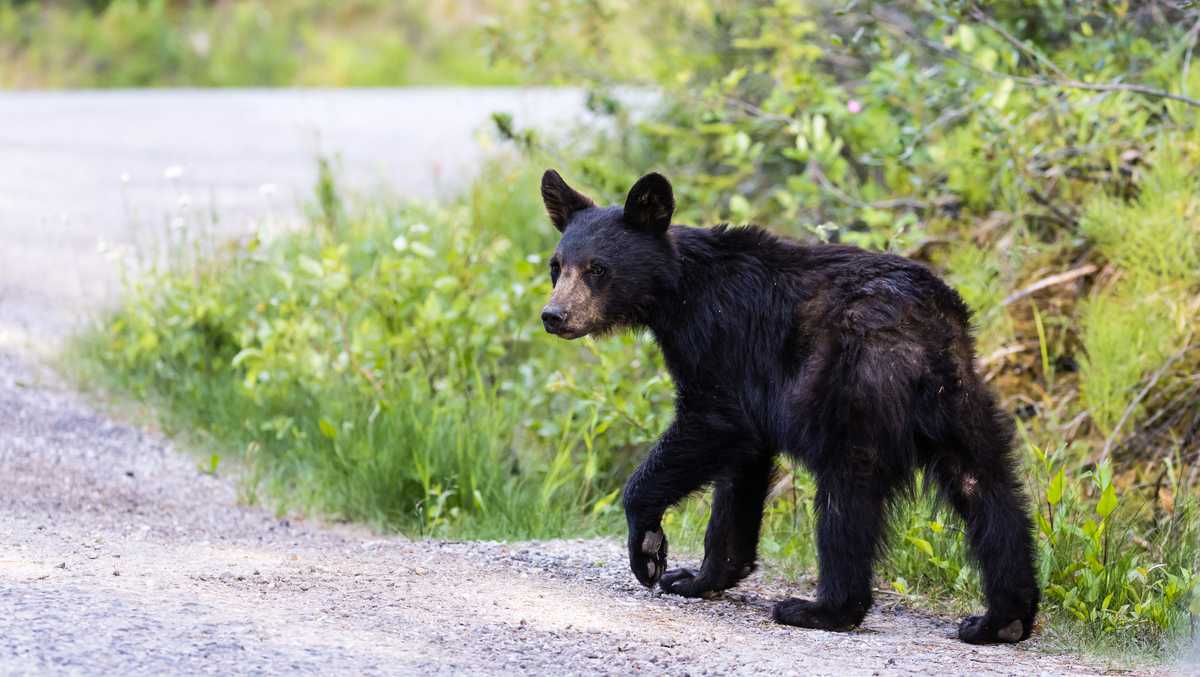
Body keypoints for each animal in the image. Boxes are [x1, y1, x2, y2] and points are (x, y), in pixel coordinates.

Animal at [538, 169, 1040, 644]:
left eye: (597, 269)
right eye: (556, 266)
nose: (554, 315)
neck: (678, 290)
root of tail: (928, 321)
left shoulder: (718, 338)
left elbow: (713, 422)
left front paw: (649, 553)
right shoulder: (750, 388)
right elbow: (741, 472)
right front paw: (696, 577)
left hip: (855, 382)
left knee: (848, 492)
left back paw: (821, 609)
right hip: (959, 397)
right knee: (987, 486)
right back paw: (1002, 619)